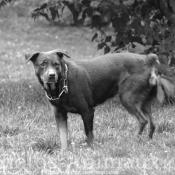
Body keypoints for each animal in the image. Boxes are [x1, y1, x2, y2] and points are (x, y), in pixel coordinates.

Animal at [25, 49, 160, 149]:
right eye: (42, 64)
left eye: (56, 64)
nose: (51, 75)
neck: (62, 85)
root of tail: (147, 59)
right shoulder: (60, 115)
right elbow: (63, 138)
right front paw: (64, 153)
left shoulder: (87, 112)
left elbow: (89, 135)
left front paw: (90, 149)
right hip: (144, 102)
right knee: (152, 123)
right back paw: (147, 142)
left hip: (127, 97)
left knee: (143, 120)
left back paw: (131, 142)